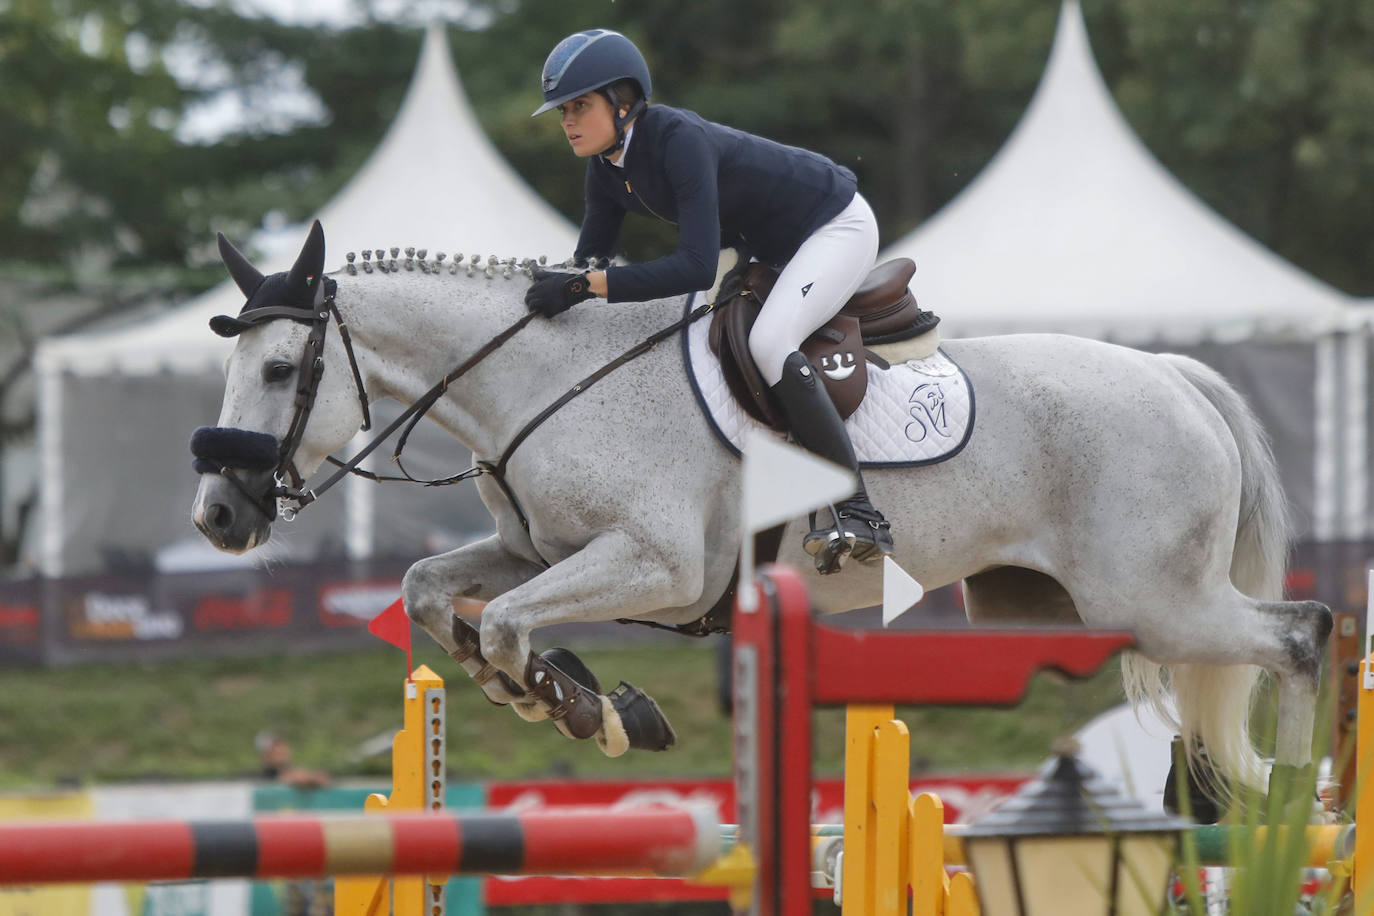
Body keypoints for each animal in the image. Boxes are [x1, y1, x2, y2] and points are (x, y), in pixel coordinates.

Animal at [196, 223, 1330, 818]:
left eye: (283, 370)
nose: (218, 514)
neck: (545, 379)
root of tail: (1176, 375)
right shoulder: (535, 550)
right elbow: (432, 592)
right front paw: (544, 692)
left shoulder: (657, 565)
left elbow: (514, 624)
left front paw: (581, 707)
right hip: (1055, 610)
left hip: (1159, 601)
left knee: (1302, 635)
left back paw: (1293, 801)